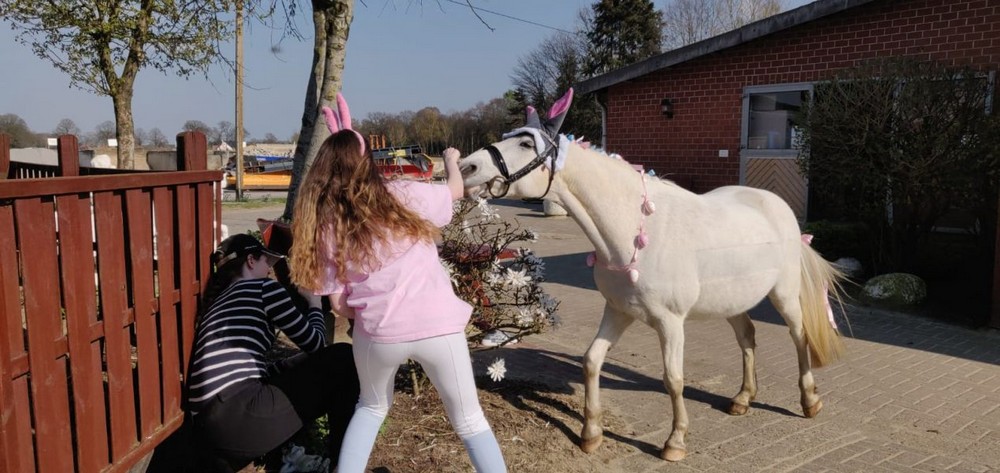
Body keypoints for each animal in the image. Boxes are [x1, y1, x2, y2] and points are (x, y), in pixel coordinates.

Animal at [458, 88, 846, 462]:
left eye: (526, 143)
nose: (465, 166)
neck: (634, 232)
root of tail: (776, 205)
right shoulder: (618, 312)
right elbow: (591, 360)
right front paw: (590, 434)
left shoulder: (670, 322)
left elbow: (673, 379)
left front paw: (674, 443)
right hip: (733, 301)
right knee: (747, 338)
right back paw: (742, 399)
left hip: (785, 295)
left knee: (799, 337)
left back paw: (809, 401)